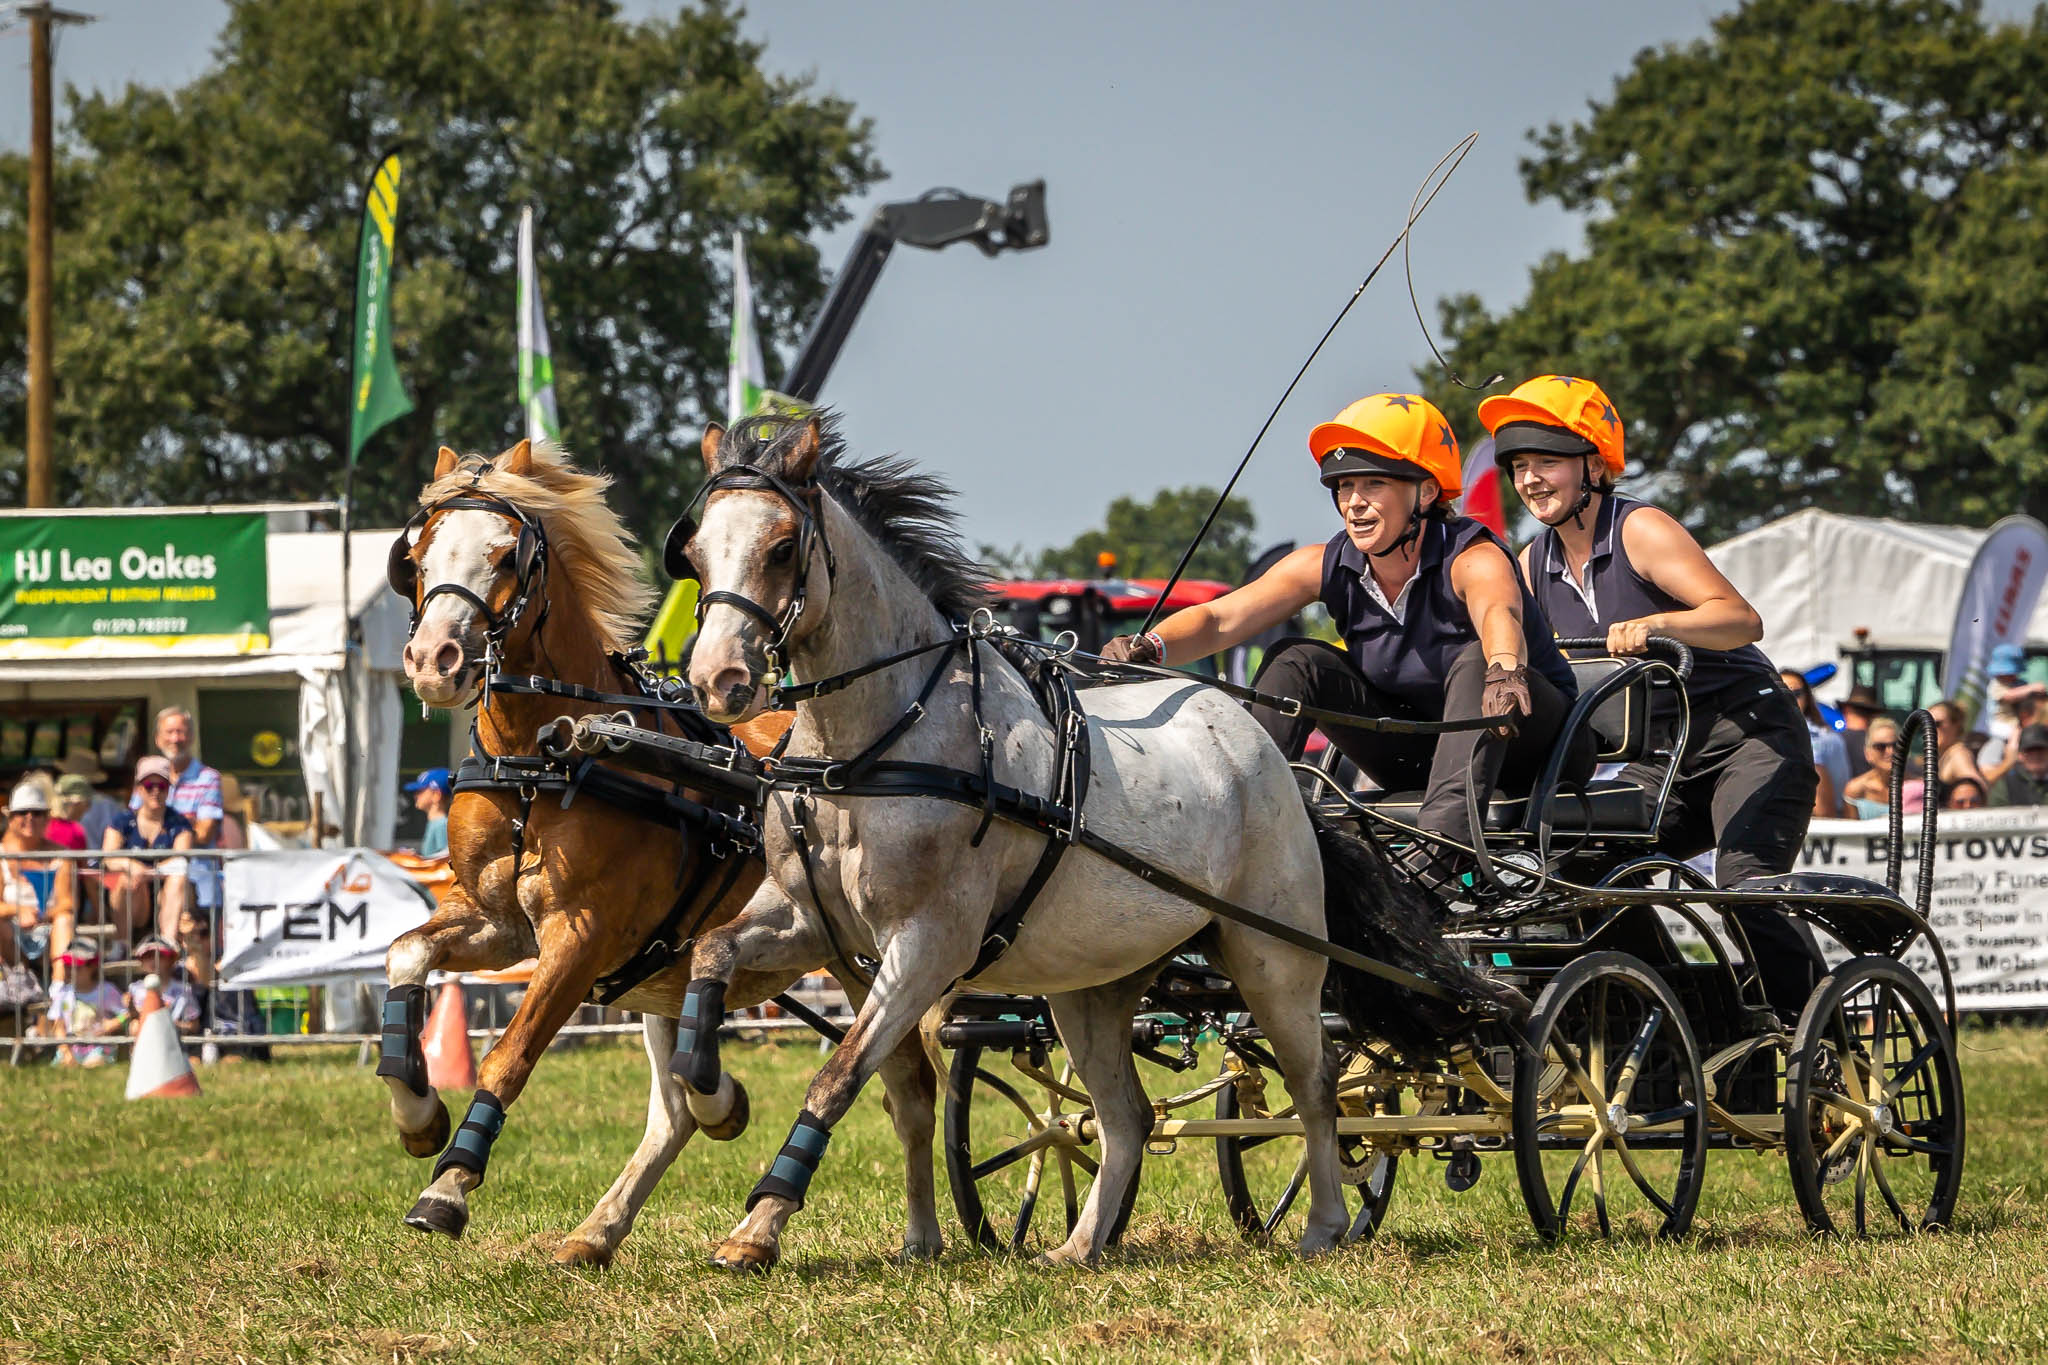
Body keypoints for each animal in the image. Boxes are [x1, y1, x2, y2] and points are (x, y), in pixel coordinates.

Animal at [380, 444, 937, 1268]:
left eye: (506, 555)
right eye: (416, 557)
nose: (433, 661)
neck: (544, 759)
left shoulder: (580, 936)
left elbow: (509, 1054)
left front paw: (447, 1187)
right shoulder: (496, 922)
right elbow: (405, 954)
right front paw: (418, 1113)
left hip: (866, 955)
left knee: (913, 1080)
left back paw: (917, 1228)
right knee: (694, 1110)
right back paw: (605, 1223)